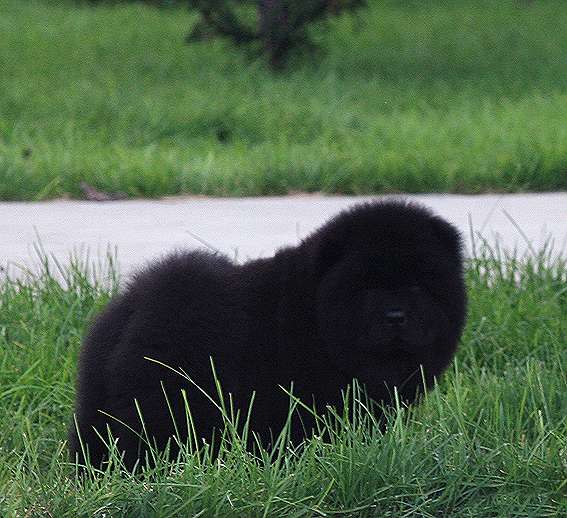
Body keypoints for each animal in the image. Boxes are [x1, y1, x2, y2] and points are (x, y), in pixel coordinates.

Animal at [70, 201, 466, 470]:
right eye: (367, 288)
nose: (395, 316)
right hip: (163, 399)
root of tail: (129, 308)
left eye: (417, 286)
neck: (313, 317)